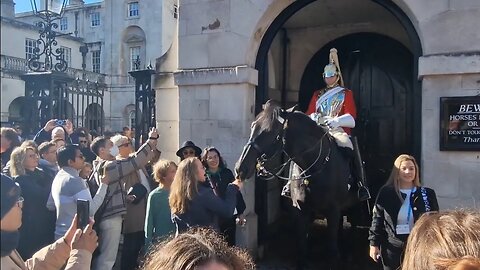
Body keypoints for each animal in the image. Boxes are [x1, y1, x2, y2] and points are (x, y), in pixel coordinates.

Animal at [234, 100, 358, 268]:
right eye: (253, 125)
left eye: (271, 132)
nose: (240, 168)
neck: (315, 167)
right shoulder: (300, 209)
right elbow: (302, 247)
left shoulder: (333, 210)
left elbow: (331, 250)